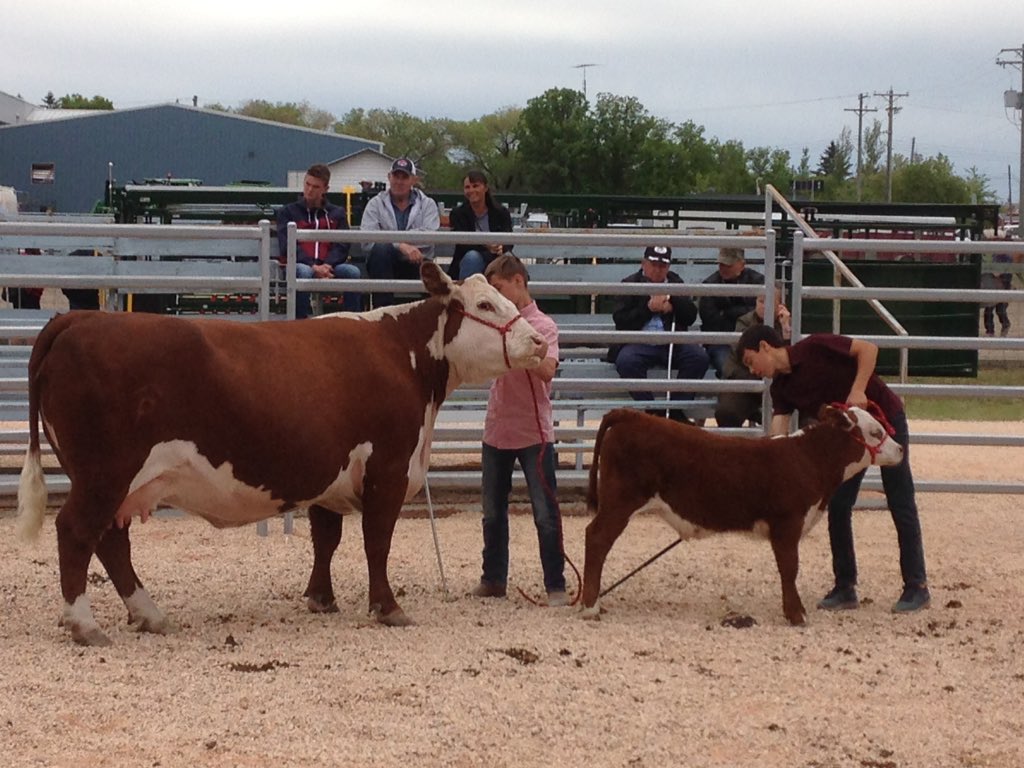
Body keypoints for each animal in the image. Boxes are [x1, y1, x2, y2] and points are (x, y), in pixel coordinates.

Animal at [16, 262, 547, 646]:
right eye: (485, 303)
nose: (539, 341)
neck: (405, 356)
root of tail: (79, 317)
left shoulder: (330, 475)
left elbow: (326, 540)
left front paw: (320, 599)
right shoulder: (389, 468)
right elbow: (377, 542)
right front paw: (388, 608)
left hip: (115, 480)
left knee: (111, 541)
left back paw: (150, 615)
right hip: (104, 473)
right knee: (77, 532)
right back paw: (85, 625)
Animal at [580, 405, 904, 626]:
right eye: (875, 431)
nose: (901, 449)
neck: (808, 459)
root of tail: (630, 415)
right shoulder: (786, 524)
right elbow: (789, 568)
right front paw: (796, 614)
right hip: (620, 502)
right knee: (596, 539)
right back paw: (590, 606)